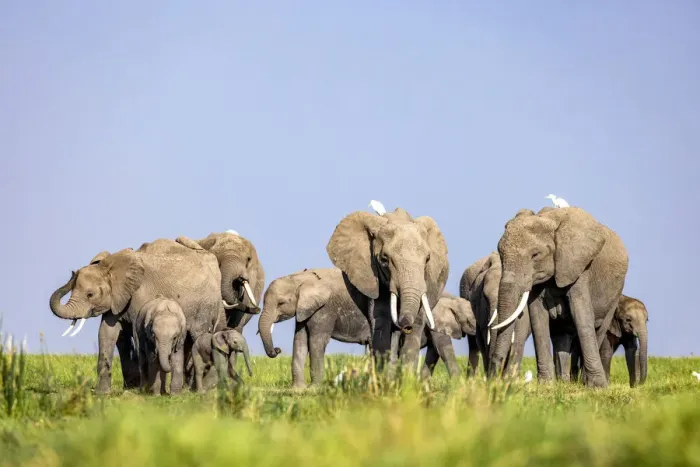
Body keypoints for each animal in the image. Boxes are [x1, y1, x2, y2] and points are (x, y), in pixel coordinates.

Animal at [49, 238, 224, 394]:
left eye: (90, 294)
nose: (73, 272)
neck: (110, 267)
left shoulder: (140, 295)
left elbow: (134, 331)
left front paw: (142, 389)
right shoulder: (116, 298)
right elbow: (106, 333)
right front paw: (102, 393)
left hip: (204, 308)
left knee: (198, 337)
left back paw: (197, 389)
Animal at [258, 268, 470, 388]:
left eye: (281, 303)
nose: (277, 349)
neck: (300, 278)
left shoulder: (325, 309)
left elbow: (316, 341)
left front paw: (314, 388)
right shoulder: (305, 310)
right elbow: (300, 341)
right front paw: (298, 389)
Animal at [325, 204, 449, 371]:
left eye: (428, 259)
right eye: (384, 259)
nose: (406, 327)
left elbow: (416, 325)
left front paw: (407, 377)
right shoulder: (372, 278)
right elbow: (380, 322)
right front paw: (385, 375)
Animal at [489, 207, 629, 388]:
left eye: (535, 255)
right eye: (501, 254)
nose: (494, 377)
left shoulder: (577, 265)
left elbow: (581, 314)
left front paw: (598, 387)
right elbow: (537, 317)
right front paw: (546, 384)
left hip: (616, 293)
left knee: (599, 328)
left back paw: (584, 382)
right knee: (561, 337)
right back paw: (564, 382)